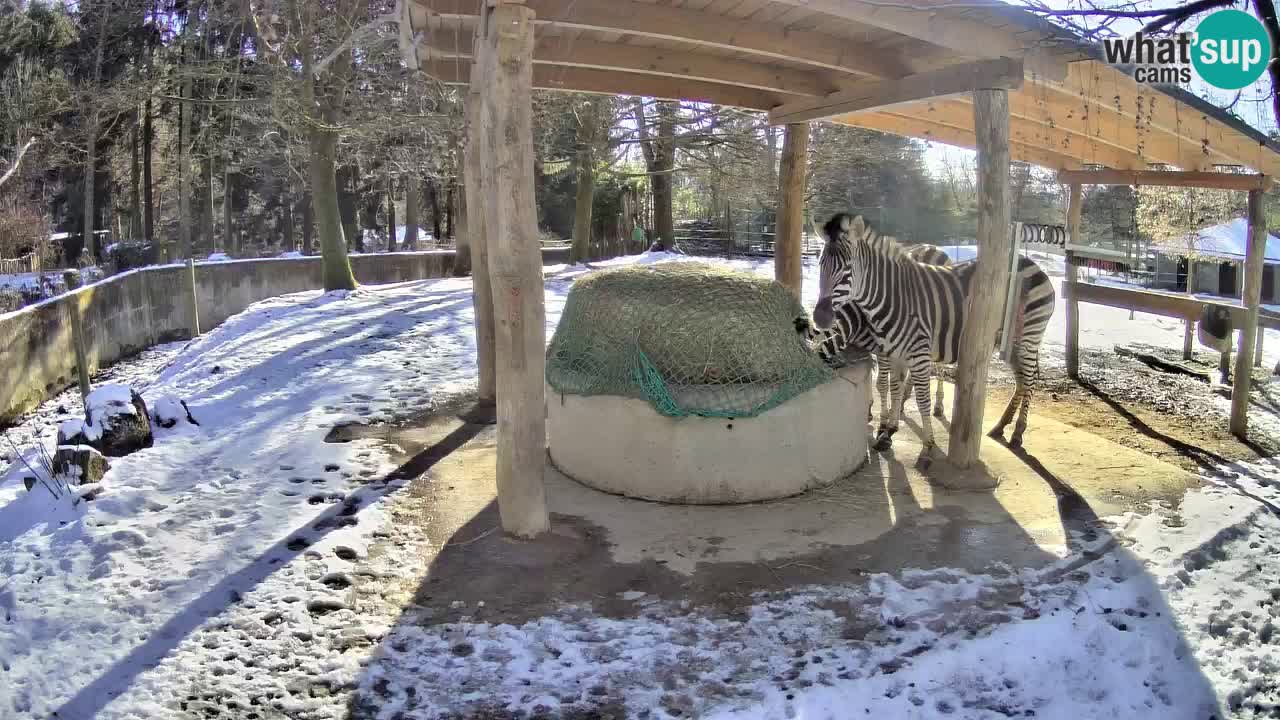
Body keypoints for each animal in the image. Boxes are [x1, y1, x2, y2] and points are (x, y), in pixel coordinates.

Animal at [814, 210, 1054, 461]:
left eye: (848, 269)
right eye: (821, 265)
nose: (820, 317)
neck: (891, 298)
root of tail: (1032, 263)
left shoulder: (910, 351)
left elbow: (917, 397)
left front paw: (925, 445)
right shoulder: (894, 350)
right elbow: (893, 386)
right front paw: (888, 431)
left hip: (1029, 335)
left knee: (1029, 380)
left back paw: (1017, 433)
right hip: (1012, 341)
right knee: (1021, 380)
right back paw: (1001, 426)